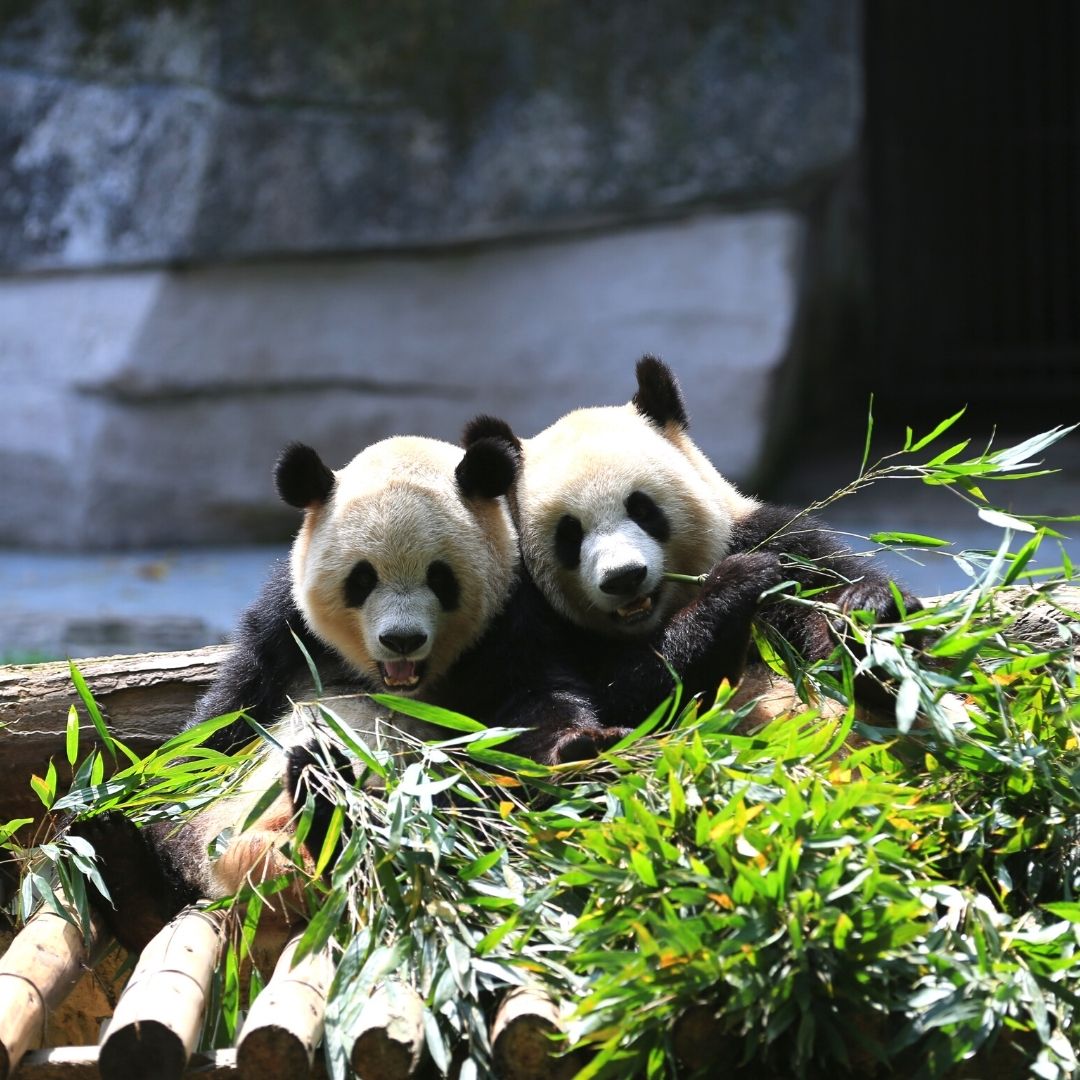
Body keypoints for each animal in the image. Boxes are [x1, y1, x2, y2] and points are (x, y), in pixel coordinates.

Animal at [464, 356, 920, 725]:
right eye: (569, 533)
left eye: (642, 509)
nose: (624, 577)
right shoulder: (522, 614)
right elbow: (632, 697)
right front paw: (737, 583)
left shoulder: (774, 539)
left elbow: (826, 592)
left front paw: (868, 617)